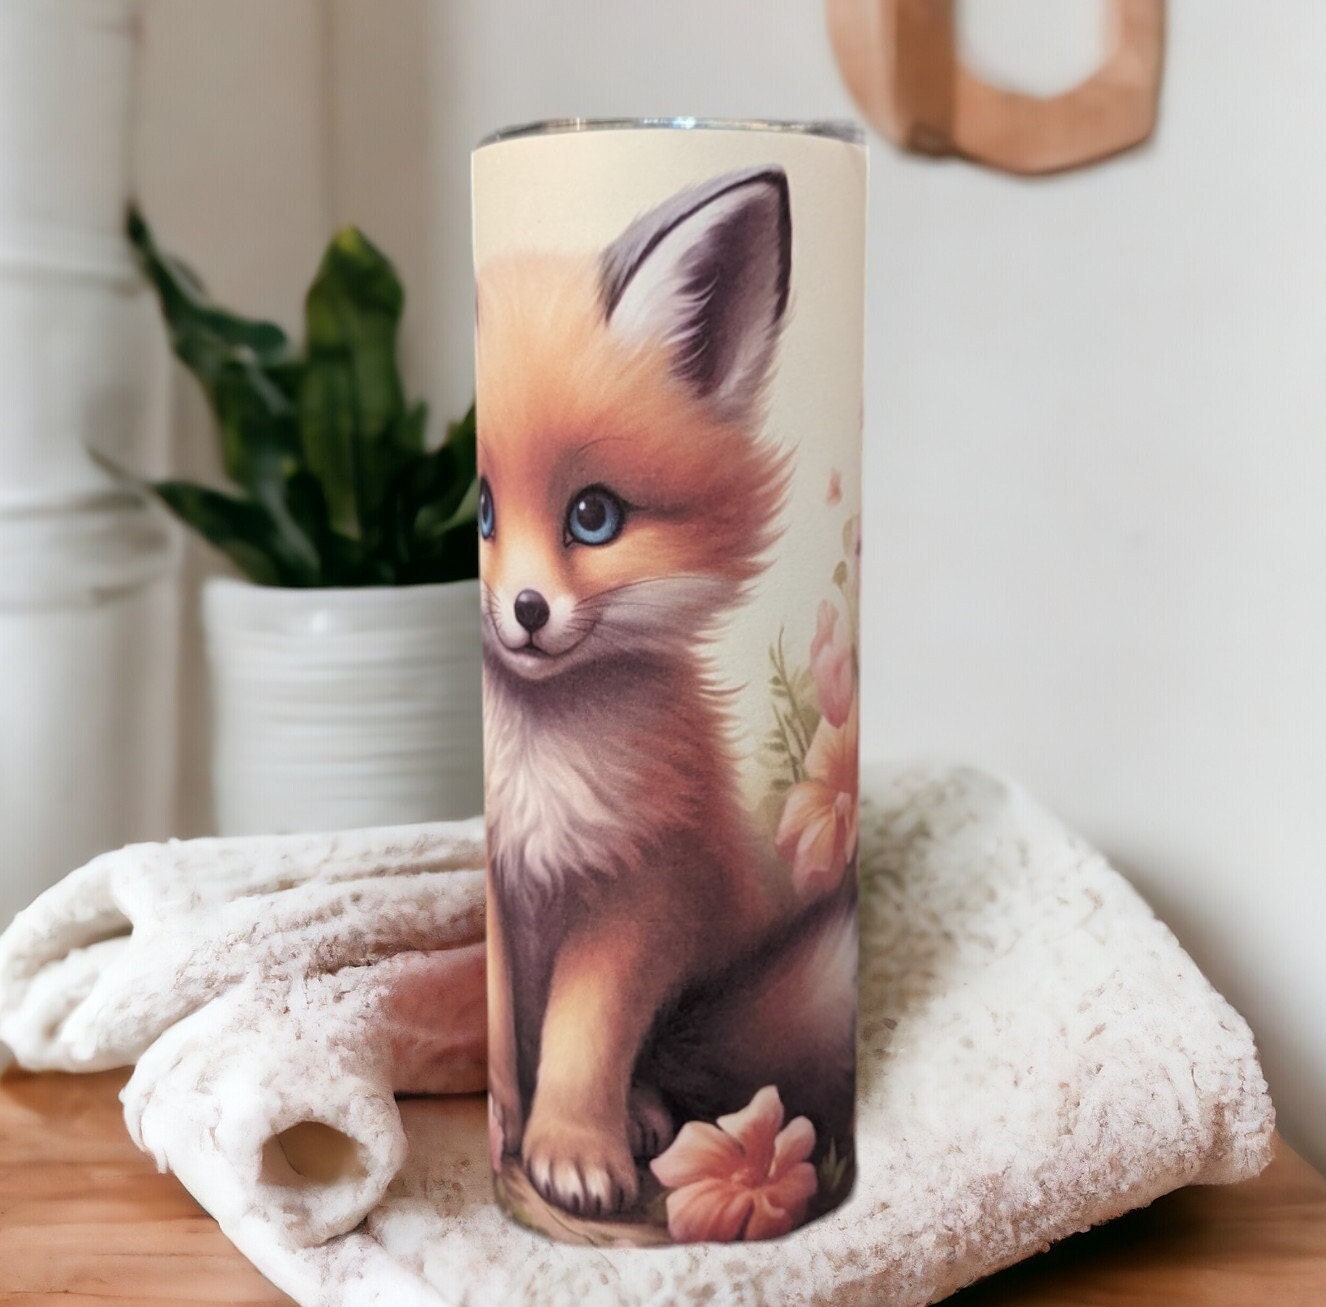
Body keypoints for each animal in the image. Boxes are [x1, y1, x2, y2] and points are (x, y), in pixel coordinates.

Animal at [476, 166, 856, 1220]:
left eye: (592, 516)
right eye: (479, 513)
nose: (525, 611)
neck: (547, 756)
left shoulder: (647, 880)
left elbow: (587, 1033)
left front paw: (574, 1144)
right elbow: (512, 1039)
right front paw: (517, 1129)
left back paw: (643, 1113)